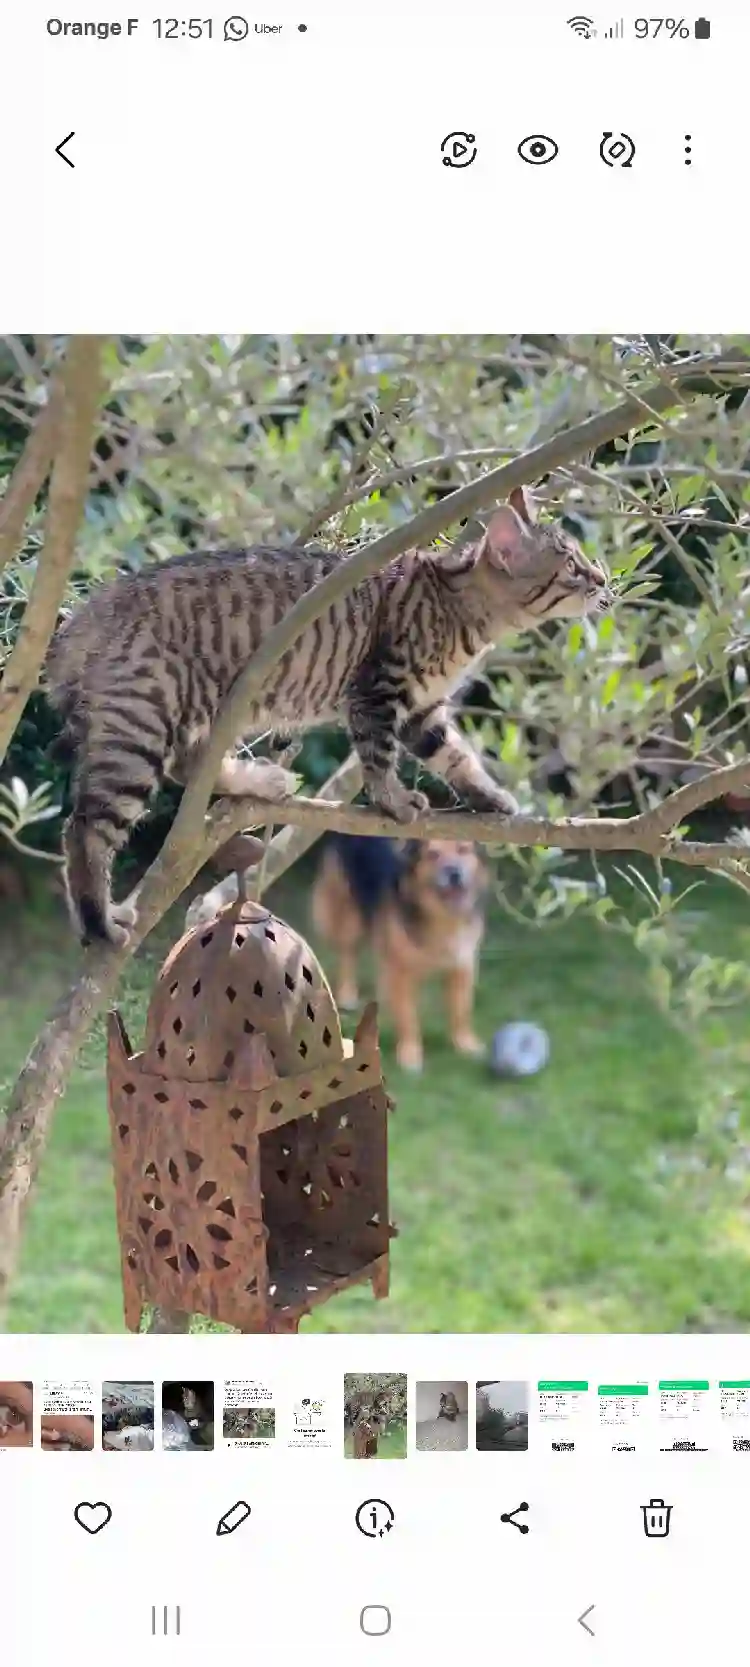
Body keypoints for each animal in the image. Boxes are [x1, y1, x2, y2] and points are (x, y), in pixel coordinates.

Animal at [45, 486, 610, 946]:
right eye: (572, 566)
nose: (605, 579)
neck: (460, 608)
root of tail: (84, 615)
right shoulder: (377, 690)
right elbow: (378, 757)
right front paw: (393, 801)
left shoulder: (423, 711)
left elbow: (456, 757)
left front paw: (489, 797)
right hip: (142, 727)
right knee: (84, 827)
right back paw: (99, 922)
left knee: (187, 768)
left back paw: (259, 781)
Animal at [308, 830, 486, 1066]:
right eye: (433, 855)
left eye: (463, 850)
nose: (454, 873)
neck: (440, 916)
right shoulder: (402, 973)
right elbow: (408, 1016)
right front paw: (410, 1054)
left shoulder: (461, 966)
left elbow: (461, 1011)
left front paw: (465, 1044)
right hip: (348, 914)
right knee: (348, 952)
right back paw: (347, 994)